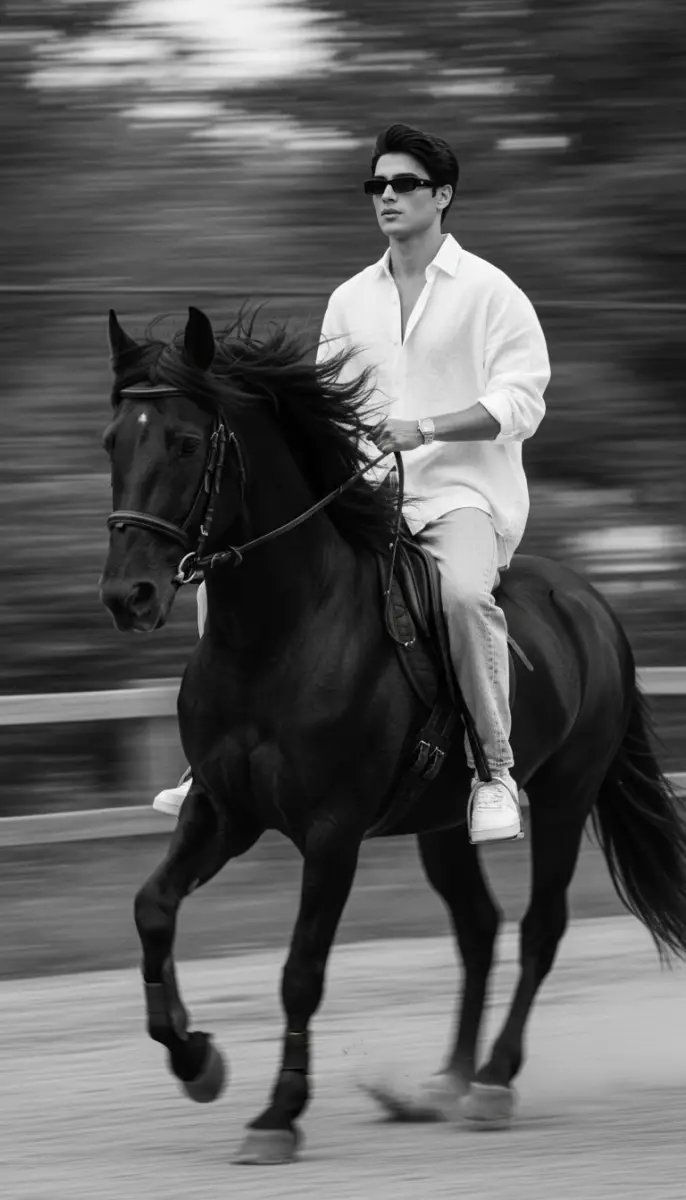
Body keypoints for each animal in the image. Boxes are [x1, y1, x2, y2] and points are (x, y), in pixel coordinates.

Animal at [99, 305, 686, 1166]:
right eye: (113, 440)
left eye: (182, 441)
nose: (128, 595)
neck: (279, 634)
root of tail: (592, 605)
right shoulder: (223, 812)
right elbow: (151, 909)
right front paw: (195, 1058)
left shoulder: (331, 832)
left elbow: (301, 970)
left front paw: (278, 1114)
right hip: (442, 826)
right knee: (478, 929)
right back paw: (443, 1083)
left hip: (564, 797)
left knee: (540, 928)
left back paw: (492, 1081)